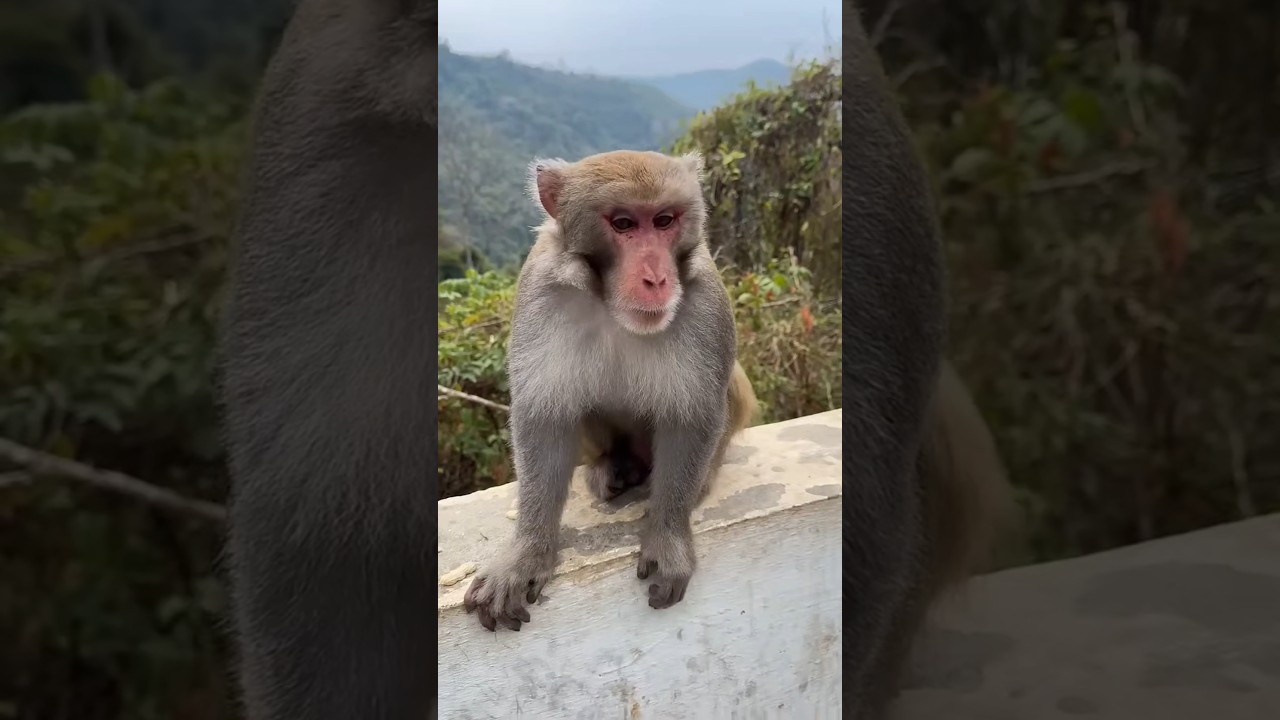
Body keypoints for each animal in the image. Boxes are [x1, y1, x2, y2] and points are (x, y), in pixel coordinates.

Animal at [462, 149, 758, 632]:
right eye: (623, 224)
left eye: (664, 220)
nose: (656, 279)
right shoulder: (542, 289)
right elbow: (545, 416)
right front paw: (525, 554)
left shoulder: (705, 299)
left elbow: (692, 414)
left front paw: (667, 537)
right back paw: (613, 466)